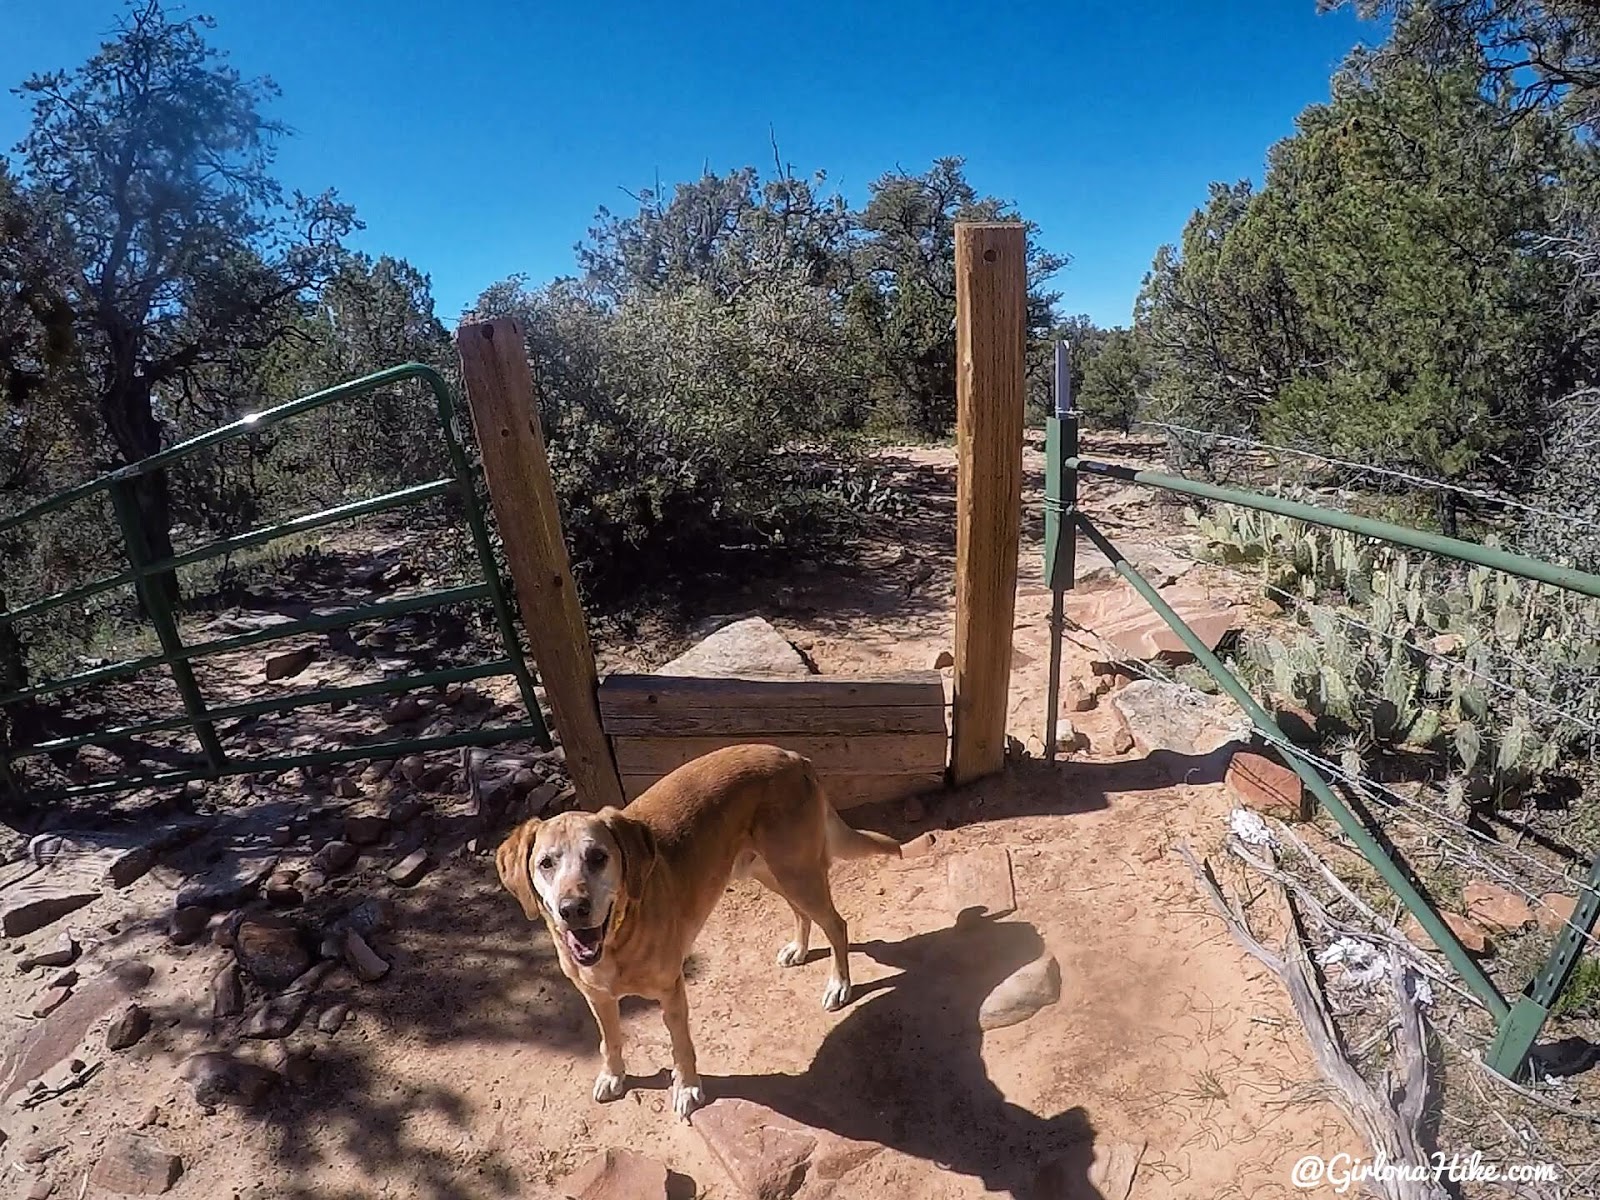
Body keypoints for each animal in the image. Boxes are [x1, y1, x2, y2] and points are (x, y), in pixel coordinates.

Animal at [492, 748, 908, 1126]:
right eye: (546, 864)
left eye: (597, 857)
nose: (572, 909)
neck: (619, 935)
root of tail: (793, 756)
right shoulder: (596, 997)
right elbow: (609, 1040)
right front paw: (613, 1075)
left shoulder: (672, 993)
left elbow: (681, 1048)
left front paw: (688, 1088)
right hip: (770, 870)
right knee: (800, 912)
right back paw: (799, 950)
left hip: (796, 870)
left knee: (836, 924)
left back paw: (839, 985)